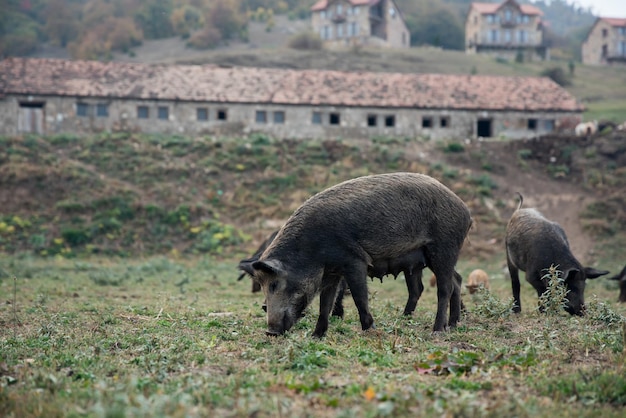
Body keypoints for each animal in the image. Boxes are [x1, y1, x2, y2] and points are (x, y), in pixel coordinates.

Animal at [246, 171, 470, 338]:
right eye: (262, 285)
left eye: (275, 284)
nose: (271, 331)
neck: (311, 248)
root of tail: (465, 211)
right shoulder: (331, 271)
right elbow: (325, 302)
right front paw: (316, 336)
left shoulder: (354, 261)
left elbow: (359, 296)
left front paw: (369, 329)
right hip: (434, 256)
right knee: (456, 280)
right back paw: (453, 324)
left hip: (443, 247)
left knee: (445, 288)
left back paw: (437, 331)